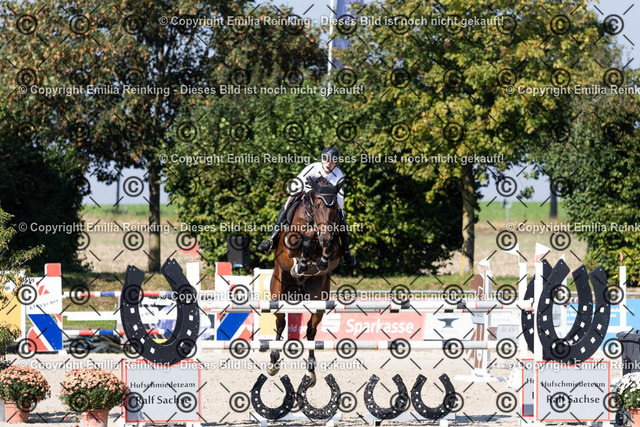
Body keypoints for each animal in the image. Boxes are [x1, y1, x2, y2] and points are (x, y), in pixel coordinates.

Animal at [267, 176, 344, 387]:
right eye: (316, 206)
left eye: (335, 208)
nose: (325, 237)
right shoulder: (289, 246)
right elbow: (304, 240)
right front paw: (301, 264)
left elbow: (328, 251)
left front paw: (320, 260)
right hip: (277, 294)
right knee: (281, 323)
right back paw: (273, 362)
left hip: (319, 300)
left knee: (311, 330)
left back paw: (310, 373)